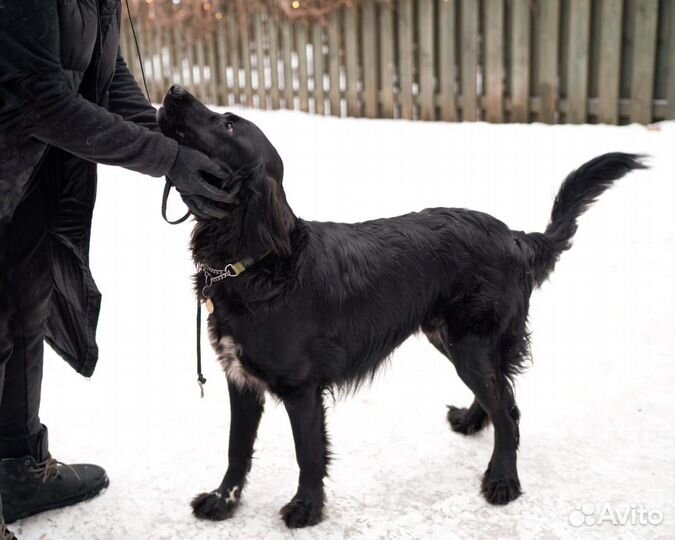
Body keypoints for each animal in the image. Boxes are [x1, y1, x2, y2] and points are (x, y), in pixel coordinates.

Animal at [156, 86, 648, 528]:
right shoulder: (241, 380)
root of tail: (515, 237)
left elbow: (308, 454)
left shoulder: (301, 389)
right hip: (448, 336)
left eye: (227, 123)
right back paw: (474, 420)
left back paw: (502, 480)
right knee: (502, 397)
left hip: (470, 340)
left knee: (507, 411)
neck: (257, 264)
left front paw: (307, 509)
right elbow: (236, 450)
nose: (173, 90)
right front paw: (223, 501)